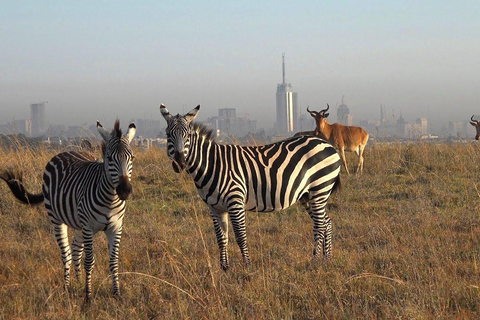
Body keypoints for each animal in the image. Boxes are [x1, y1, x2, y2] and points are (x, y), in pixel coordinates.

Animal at [0, 120, 135, 302]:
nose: (125, 191)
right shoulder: (88, 227)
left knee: (76, 250)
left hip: (78, 224)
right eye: (109, 158)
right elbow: (89, 261)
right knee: (67, 254)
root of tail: (66, 151)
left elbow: (113, 261)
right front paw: (88, 297)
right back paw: (67, 287)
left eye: (131, 158)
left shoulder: (115, 227)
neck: (110, 199)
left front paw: (116, 294)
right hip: (58, 220)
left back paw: (78, 283)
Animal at [159, 104, 340, 270]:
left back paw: (314, 261)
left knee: (319, 225)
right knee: (326, 222)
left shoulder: (235, 201)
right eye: (168, 135)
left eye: (188, 135)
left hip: (319, 188)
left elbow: (240, 236)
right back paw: (327, 259)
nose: (179, 163)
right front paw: (224, 269)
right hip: (307, 195)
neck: (213, 165)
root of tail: (327, 145)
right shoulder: (215, 208)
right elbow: (221, 238)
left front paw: (247, 266)